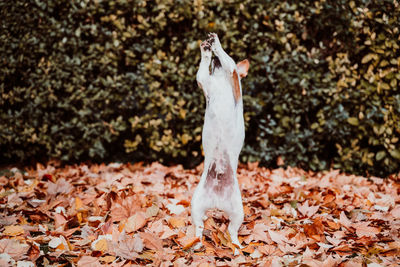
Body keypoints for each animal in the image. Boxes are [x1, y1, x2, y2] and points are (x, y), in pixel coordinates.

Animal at [191, 33, 250, 253]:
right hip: (196, 206)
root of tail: (217, 201)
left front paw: (216, 45)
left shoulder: (233, 75)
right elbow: (203, 68)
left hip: (237, 212)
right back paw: (197, 243)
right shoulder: (204, 81)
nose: (215, 61)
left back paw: (236, 246)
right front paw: (206, 50)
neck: (220, 81)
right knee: (199, 227)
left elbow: (228, 60)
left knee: (232, 231)